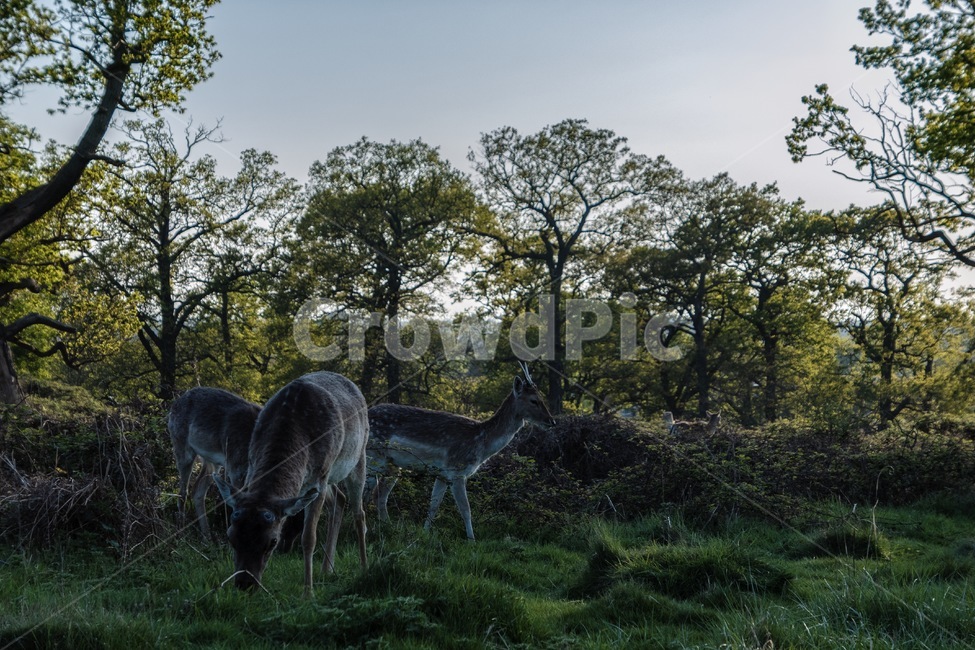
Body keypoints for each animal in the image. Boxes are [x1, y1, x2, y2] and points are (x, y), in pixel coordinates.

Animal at [168, 386, 261, 541]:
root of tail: (174, 405)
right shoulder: (236, 468)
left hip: (212, 463)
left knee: (197, 491)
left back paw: (207, 537)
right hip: (182, 449)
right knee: (182, 493)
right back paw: (181, 534)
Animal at [213, 371, 369, 594]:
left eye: (273, 542)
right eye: (230, 537)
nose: (245, 584)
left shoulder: (318, 480)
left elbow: (308, 538)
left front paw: (308, 592)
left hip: (357, 457)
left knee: (359, 513)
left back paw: (364, 567)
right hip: (329, 476)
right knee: (339, 498)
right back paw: (327, 569)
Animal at [366, 362, 556, 540]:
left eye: (542, 397)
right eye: (533, 400)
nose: (551, 421)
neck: (482, 442)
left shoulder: (443, 473)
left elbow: (434, 504)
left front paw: (425, 533)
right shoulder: (458, 470)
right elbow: (465, 508)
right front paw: (472, 540)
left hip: (392, 465)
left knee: (379, 495)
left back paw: (388, 527)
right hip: (373, 457)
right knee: (365, 492)